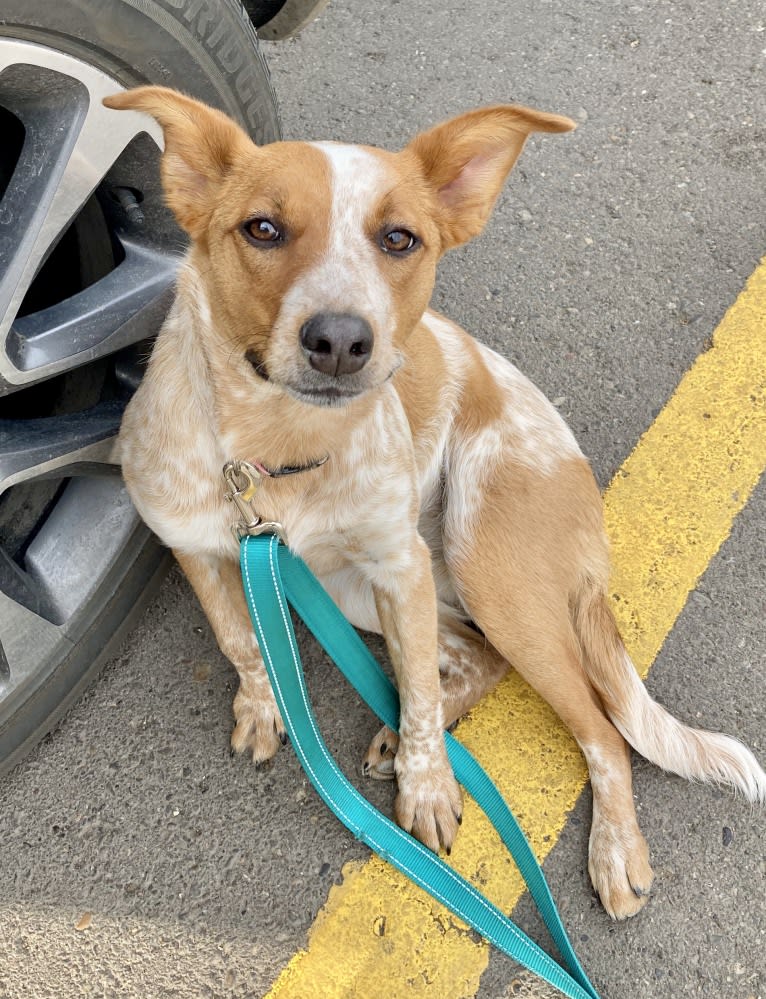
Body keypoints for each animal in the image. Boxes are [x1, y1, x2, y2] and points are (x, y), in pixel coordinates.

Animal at [105, 88, 764, 920]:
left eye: (399, 238)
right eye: (262, 228)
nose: (341, 340)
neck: (279, 453)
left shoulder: (398, 564)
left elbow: (417, 688)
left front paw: (428, 785)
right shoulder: (197, 548)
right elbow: (241, 642)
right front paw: (264, 707)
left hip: (483, 569)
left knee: (601, 730)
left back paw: (613, 847)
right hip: (360, 590)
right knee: (479, 658)